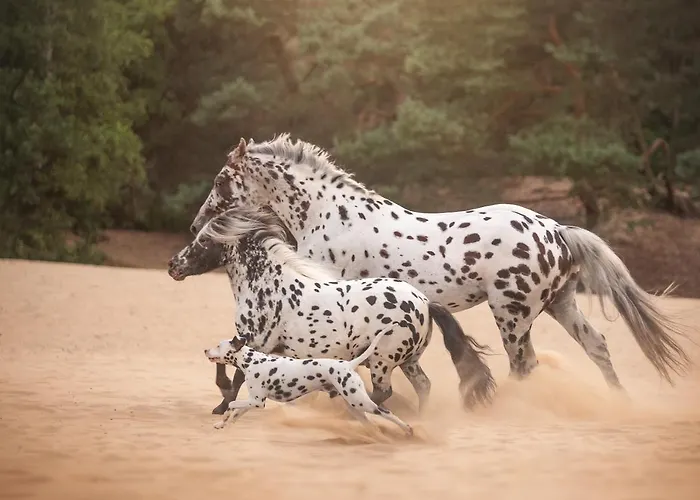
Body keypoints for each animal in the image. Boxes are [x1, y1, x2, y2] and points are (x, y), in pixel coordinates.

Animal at [168, 207, 496, 414]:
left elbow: (233, 373)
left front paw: (221, 405)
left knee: (383, 392)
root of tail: (425, 302)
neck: (267, 284)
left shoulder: (256, 341)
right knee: (423, 386)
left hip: (382, 360)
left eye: (203, 241)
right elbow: (223, 362)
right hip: (407, 360)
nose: (173, 265)